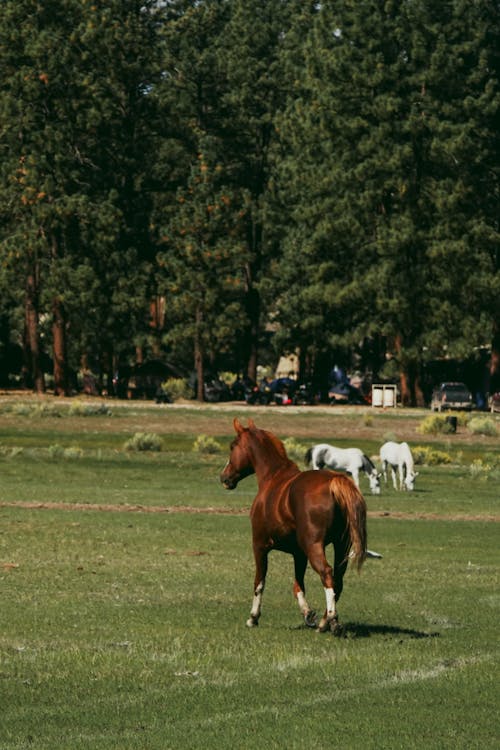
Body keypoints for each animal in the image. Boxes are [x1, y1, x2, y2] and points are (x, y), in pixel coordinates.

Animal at [219, 420, 368, 632]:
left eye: (233, 446)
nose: (224, 478)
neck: (273, 478)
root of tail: (334, 480)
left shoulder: (259, 546)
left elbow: (259, 582)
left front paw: (253, 617)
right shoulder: (299, 554)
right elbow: (298, 585)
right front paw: (308, 613)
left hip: (314, 547)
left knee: (327, 574)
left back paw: (331, 619)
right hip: (340, 546)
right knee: (337, 580)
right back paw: (324, 621)